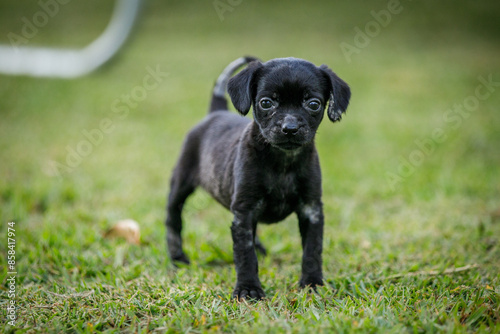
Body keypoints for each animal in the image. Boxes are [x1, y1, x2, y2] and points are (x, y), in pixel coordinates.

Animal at [166, 56, 350, 300]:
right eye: (266, 103)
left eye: (313, 104)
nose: (290, 128)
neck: (282, 163)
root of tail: (215, 113)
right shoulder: (244, 211)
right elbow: (245, 254)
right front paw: (248, 289)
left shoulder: (311, 209)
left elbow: (312, 250)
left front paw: (312, 284)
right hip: (180, 184)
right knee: (173, 219)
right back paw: (177, 257)